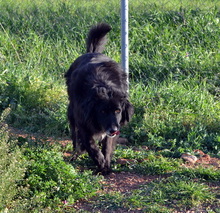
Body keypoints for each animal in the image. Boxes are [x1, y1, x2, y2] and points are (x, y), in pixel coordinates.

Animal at [65, 22, 134, 175]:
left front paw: (106, 166)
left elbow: (106, 147)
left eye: (118, 111)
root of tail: (92, 52)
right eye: (102, 112)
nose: (113, 130)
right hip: (72, 113)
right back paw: (76, 153)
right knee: (74, 135)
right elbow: (92, 147)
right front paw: (101, 164)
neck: (103, 87)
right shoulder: (83, 123)